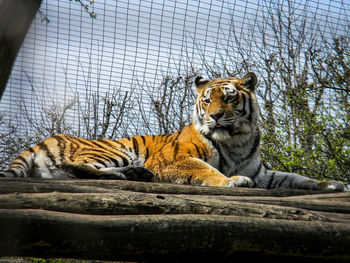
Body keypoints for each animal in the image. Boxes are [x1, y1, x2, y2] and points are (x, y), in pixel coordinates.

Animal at [0, 73, 344, 193]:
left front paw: (330, 184)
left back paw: (136, 175)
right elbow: (205, 169)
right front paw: (231, 181)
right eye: (207, 100)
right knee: (76, 167)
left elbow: (293, 178)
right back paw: (130, 175)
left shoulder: (263, 174)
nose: (215, 115)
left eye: (229, 98)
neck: (236, 139)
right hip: (112, 150)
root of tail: (44, 139)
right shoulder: (174, 160)